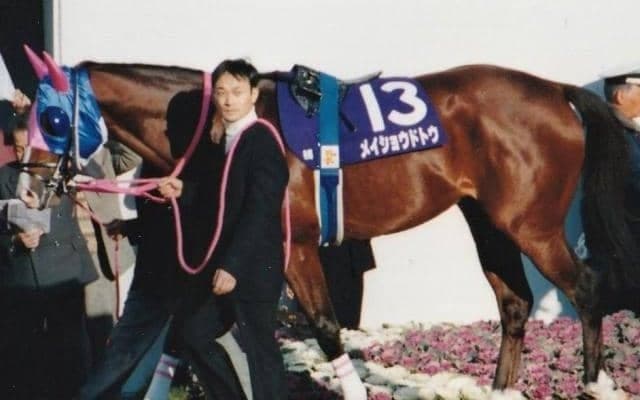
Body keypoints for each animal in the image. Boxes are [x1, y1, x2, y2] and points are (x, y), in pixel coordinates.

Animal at [20, 49, 640, 397]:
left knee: (586, 289)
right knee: (514, 303)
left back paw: (594, 383)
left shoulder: (291, 247)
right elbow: (187, 333)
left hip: (531, 224)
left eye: (51, 119)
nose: (26, 188)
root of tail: (556, 91)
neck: (229, 131)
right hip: (488, 220)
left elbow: (323, 327)